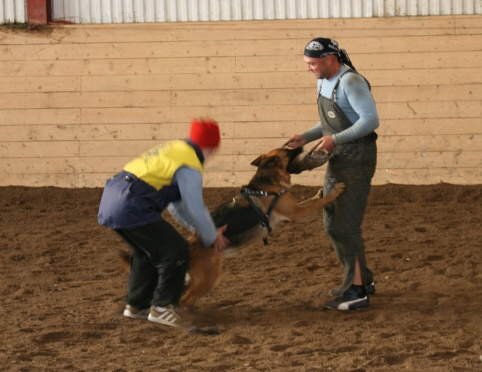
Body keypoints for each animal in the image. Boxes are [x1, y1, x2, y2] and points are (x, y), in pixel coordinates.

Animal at [122, 147, 344, 310]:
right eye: (288, 149)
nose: (301, 144)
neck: (267, 182)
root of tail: (190, 245)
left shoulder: (294, 209)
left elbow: (314, 199)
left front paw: (320, 191)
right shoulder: (297, 213)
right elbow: (320, 202)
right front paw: (336, 190)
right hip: (208, 278)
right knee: (184, 300)